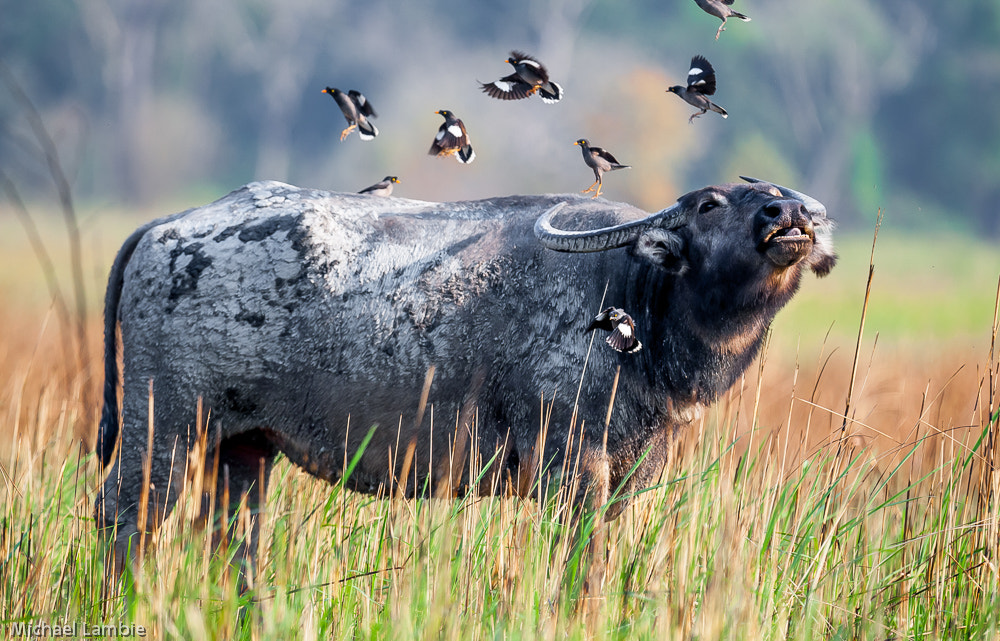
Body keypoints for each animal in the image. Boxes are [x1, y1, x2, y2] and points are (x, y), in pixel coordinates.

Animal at [95, 179, 836, 576]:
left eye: (776, 195)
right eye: (712, 203)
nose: (789, 215)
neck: (634, 300)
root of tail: (166, 226)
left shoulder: (629, 472)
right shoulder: (569, 465)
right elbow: (579, 564)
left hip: (243, 450)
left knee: (230, 540)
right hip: (162, 429)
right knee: (127, 517)